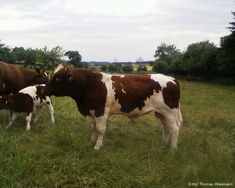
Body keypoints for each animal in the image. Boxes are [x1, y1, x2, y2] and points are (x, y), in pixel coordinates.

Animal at [44, 64, 184, 150]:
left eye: (58, 78)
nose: (44, 90)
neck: (89, 85)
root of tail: (172, 79)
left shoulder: (101, 112)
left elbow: (100, 129)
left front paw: (97, 146)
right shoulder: (90, 111)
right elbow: (93, 128)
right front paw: (91, 142)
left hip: (170, 112)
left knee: (175, 128)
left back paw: (172, 149)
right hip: (161, 113)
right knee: (166, 127)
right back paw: (163, 144)